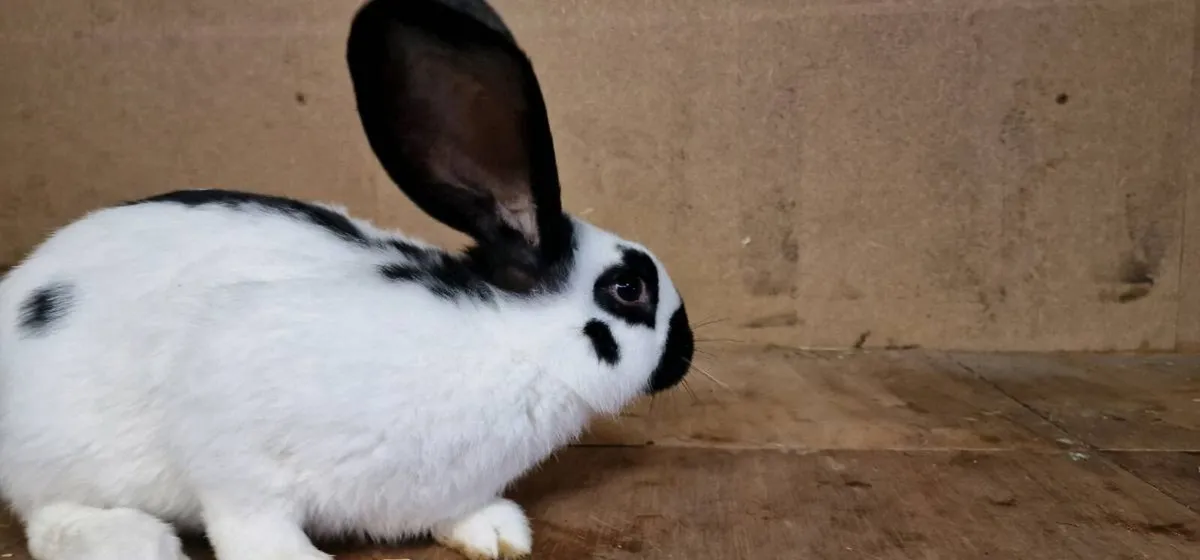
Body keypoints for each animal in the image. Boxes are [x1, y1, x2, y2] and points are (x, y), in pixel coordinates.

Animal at [0, 1, 695, 559]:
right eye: (628, 289)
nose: (686, 353)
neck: (514, 344)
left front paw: (497, 533)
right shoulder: (231, 434)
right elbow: (249, 519)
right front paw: (298, 559)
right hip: (57, 452)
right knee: (45, 515)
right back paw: (129, 541)